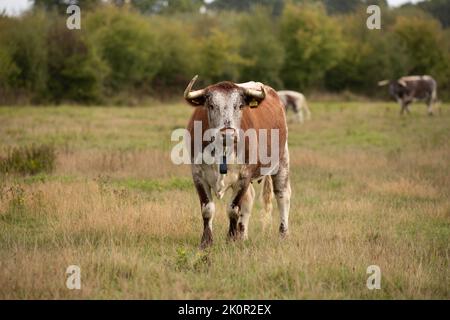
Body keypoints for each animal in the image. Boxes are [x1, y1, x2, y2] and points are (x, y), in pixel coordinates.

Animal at [184, 75, 292, 250]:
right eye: (211, 105)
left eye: (240, 106)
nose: (228, 134)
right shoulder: (198, 175)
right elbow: (207, 209)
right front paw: (206, 241)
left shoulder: (244, 175)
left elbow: (233, 209)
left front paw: (231, 239)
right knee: (249, 200)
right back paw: (243, 236)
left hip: (282, 160)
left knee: (282, 195)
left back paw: (283, 234)